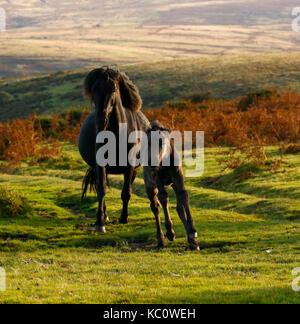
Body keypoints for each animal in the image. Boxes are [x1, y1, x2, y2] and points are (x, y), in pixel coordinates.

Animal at [79, 66, 151, 233]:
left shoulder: (130, 166)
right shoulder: (100, 165)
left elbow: (126, 192)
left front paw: (124, 218)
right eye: (94, 89)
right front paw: (99, 223)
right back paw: (104, 216)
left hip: (134, 169)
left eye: (113, 89)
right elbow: (101, 190)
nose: (101, 121)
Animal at [143, 121, 199, 251]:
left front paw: (192, 234)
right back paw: (161, 239)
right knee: (155, 206)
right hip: (149, 186)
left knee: (179, 207)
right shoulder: (156, 178)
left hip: (172, 184)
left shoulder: (178, 177)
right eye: (148, 142)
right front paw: (170, 232)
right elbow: (163, 198)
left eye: (162, 142)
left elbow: (184, 195)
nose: (151, 162)